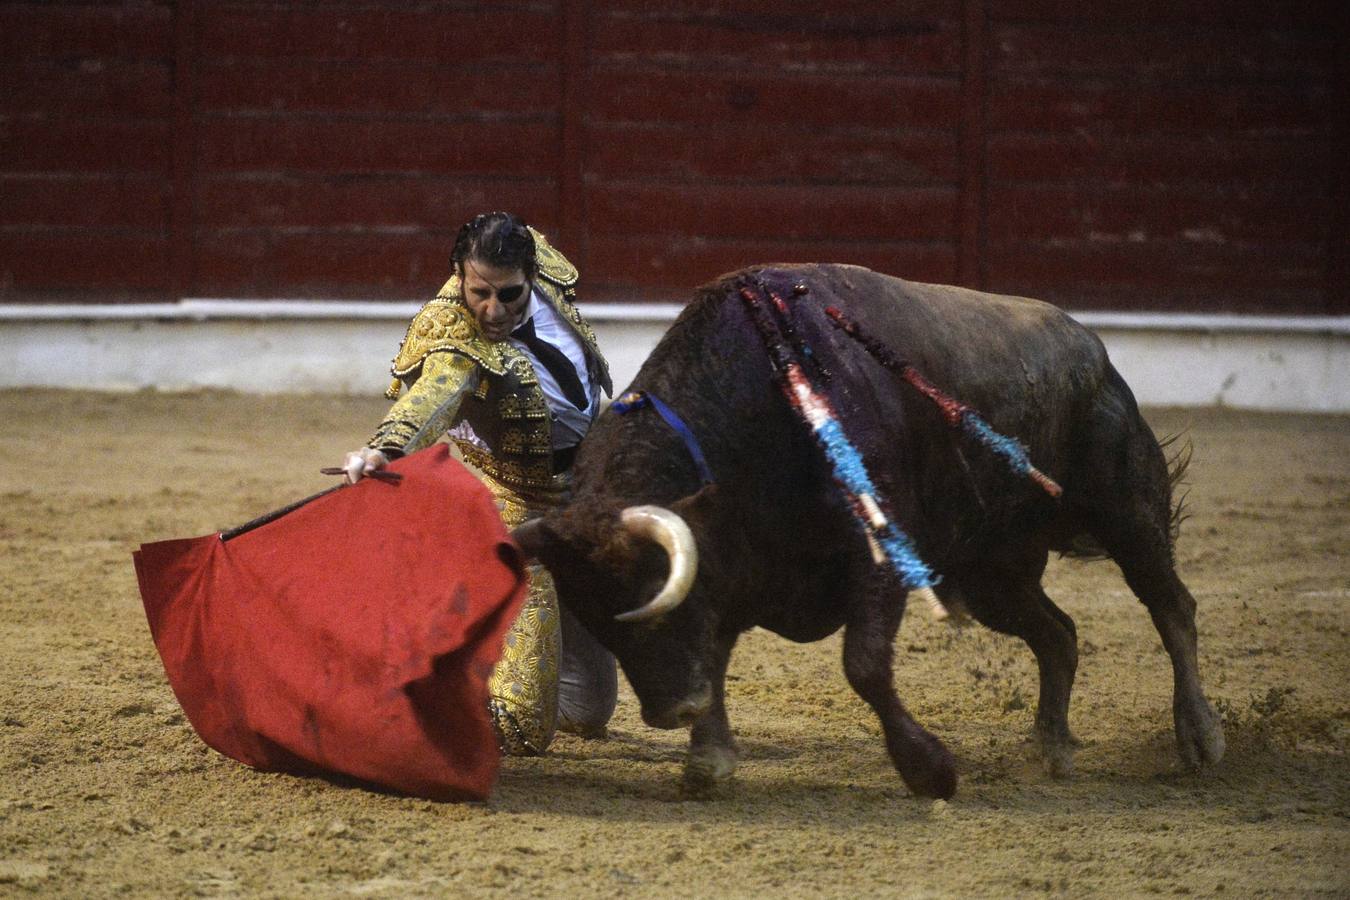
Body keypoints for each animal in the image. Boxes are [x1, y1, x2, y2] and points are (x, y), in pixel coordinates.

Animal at [510, 264, 1231, 798]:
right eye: (599, 625)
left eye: (656, 608)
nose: (670, 713)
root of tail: (1090, 347)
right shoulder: (735, 572)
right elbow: (715, 657)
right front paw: (708, 762)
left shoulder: (876, 560)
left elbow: (862, 663)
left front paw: (930, 770)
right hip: (992, 571)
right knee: (1058, 634)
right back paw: (1052, 748)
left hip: (1127, 511)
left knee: (1172, 606)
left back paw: (1200, 738)